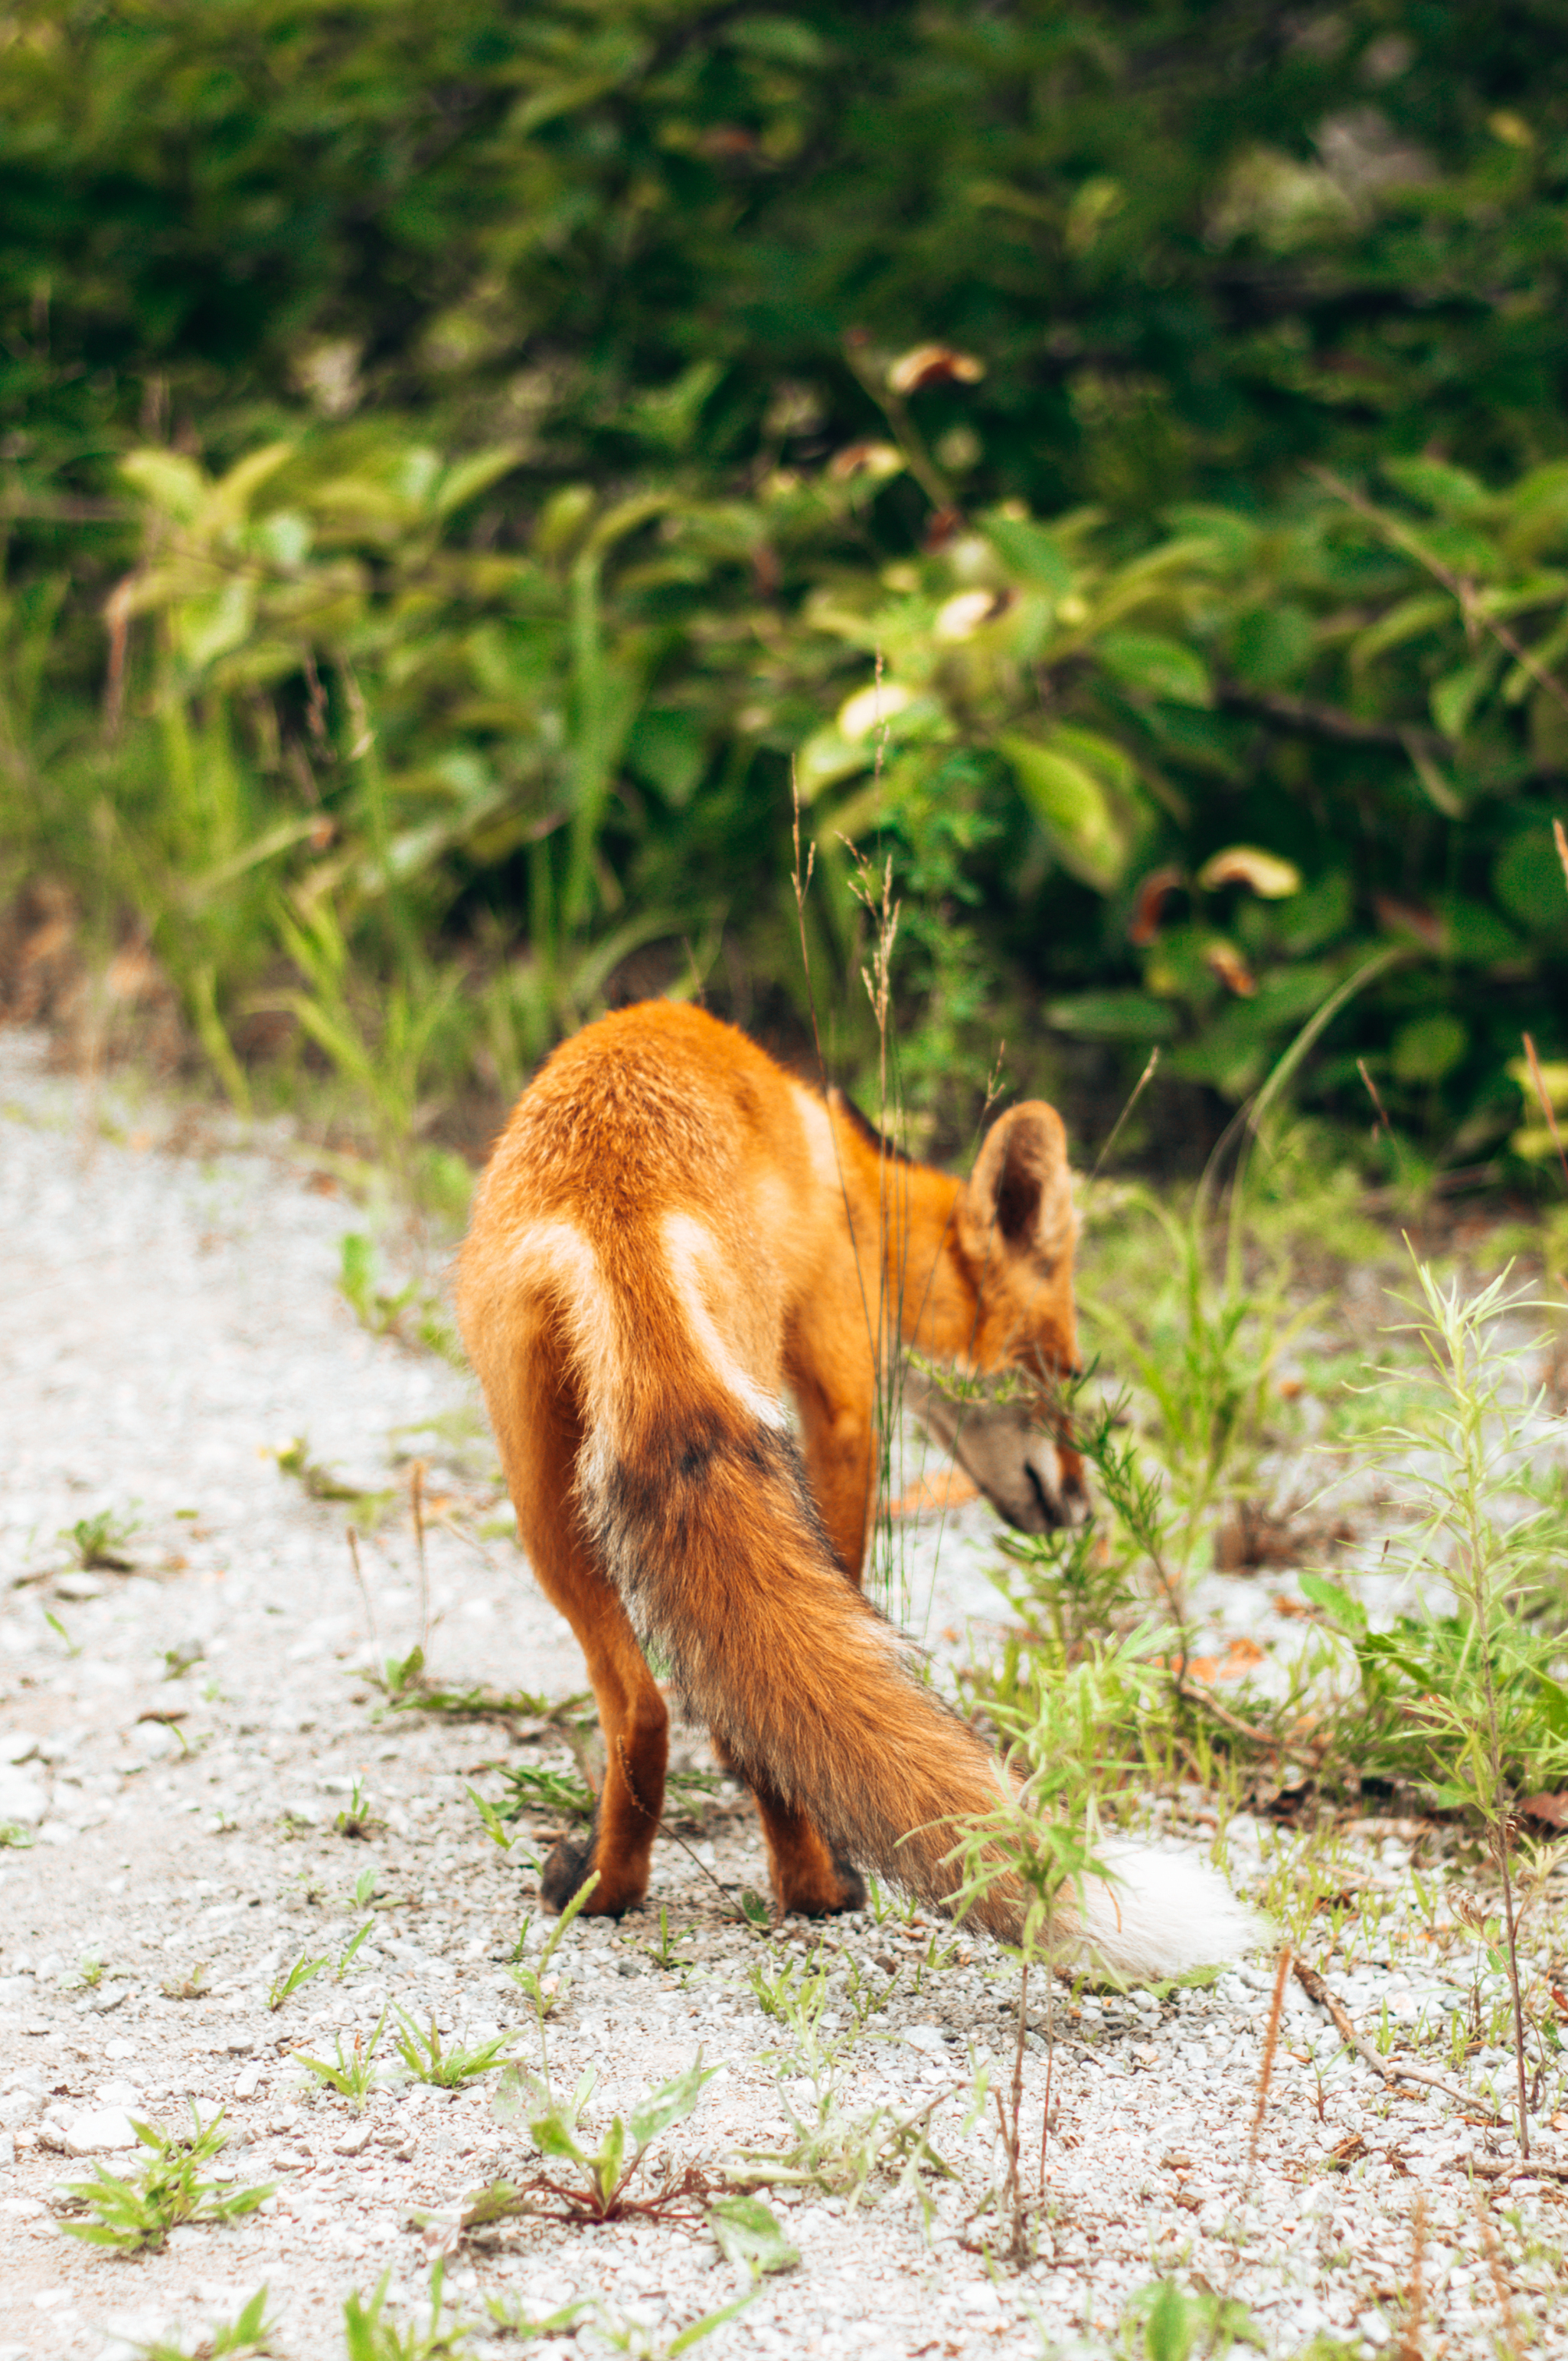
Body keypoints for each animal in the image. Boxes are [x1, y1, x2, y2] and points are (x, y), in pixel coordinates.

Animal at [456, 1001, 1266, 1973]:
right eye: (1064, 1373)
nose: (1077, 1507)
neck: (847, 1178)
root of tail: (619, 1202)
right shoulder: (842, 1401)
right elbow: (839, 1584)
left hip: (541, 1498)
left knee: (643, 1709)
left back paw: (606, 1886)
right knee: (754, 1718)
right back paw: (812, 1883)